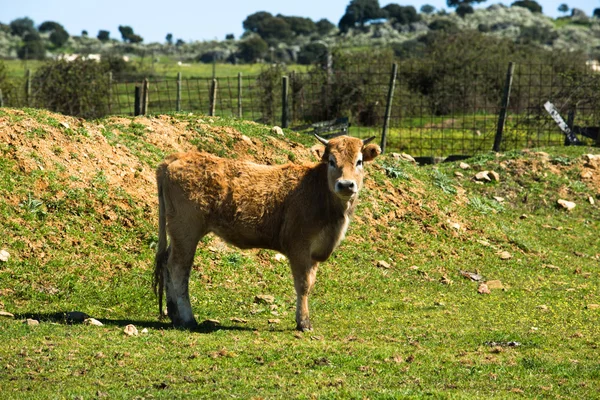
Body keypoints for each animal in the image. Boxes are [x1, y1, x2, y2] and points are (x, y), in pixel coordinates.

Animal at [154, 134, 380, 332]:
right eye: (332, 161)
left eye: (359, 161)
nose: (346, 184)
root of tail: (175, 158)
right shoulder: (299, 248)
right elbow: (303, 285)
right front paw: (303, 323)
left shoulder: (315, 251)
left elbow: (310, 283)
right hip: (186, 230)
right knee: (178, 269)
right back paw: (188, 319)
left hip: (177, 233)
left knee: (166, 263)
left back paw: (174, 315)